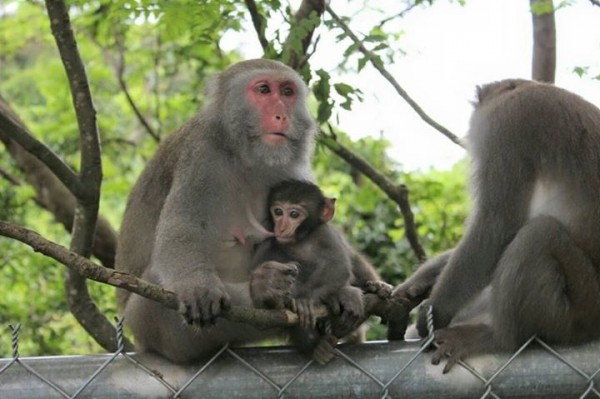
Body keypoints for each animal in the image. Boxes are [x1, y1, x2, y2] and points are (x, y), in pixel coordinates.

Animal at [250, 180, 364, 364]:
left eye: (294, 214)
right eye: (278, 211)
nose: (281, 227)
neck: (300, 240)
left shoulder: (324, 232)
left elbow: (338, 265)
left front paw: (306, 300)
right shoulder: (267, 243)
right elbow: (261, 308)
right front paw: (267, 284)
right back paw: (315, 346)